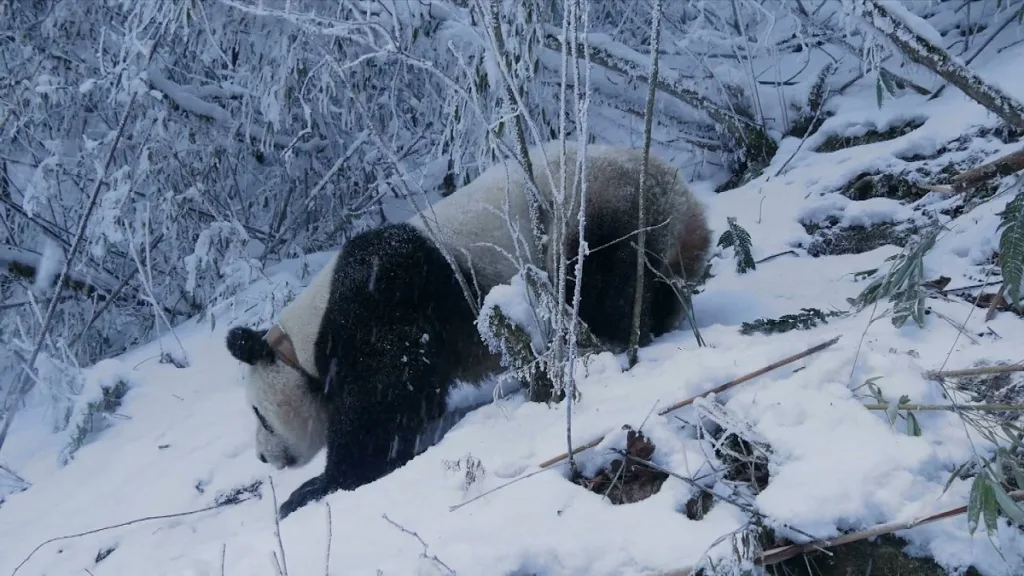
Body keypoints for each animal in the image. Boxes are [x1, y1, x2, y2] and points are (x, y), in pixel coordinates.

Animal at [224, 140, 712, 519]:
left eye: (258, 414)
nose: (264, 455)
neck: (306, 339)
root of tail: (682, 202)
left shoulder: (383, 298)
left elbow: (383, 409)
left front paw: (312, 490)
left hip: (595, 211)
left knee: (596, 282)